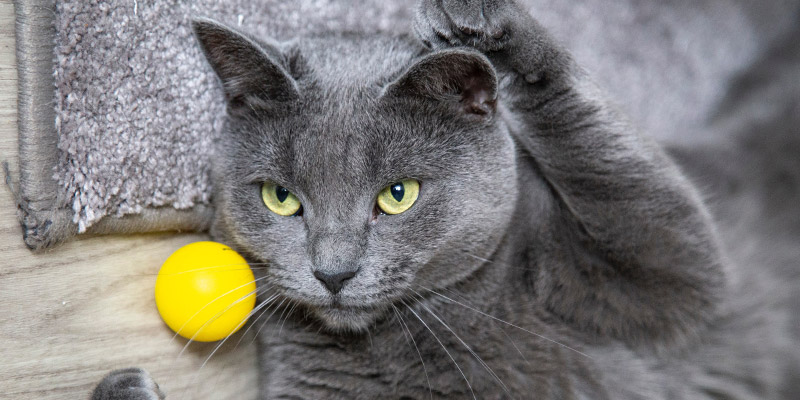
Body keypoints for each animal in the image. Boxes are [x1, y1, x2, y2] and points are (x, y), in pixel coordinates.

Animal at [95, 0, 800, 396]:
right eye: (281, 197)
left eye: (397, 195)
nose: (333, 273)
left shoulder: (669, 282)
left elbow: (648, 209)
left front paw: (490, 30)